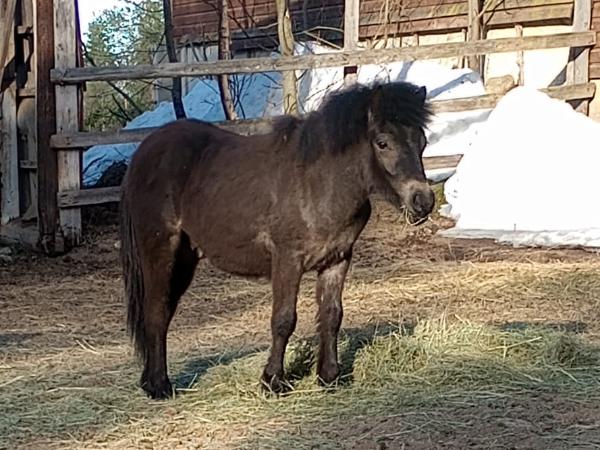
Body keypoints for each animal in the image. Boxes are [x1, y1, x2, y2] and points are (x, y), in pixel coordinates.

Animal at [120, 81, 435, 399]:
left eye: (421, 141)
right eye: (382, 143)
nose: (423, 201)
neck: (319, 184)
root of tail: (144, 151)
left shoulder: (337, 259)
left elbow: (332, 315)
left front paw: (329, 377)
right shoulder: (288, 260)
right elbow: (284, 320)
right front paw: (272, 381)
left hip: (185, 258)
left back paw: (150, 381)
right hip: (161, 250)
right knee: (156, 311)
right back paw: (160, 386)